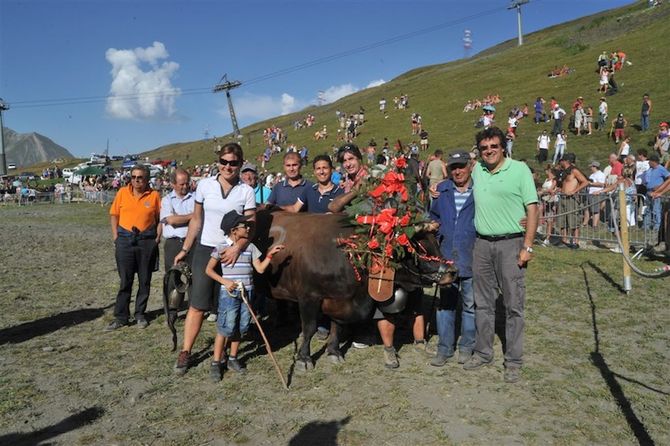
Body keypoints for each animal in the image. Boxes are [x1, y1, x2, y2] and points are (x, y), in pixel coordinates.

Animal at [255, 211, 454, 372]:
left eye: (437, 243)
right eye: (419, 249)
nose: (453, 272)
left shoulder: (340, 300)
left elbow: (337, 327)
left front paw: (334, 352)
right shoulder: (308, 297)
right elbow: (309, 328)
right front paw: (304, 359)